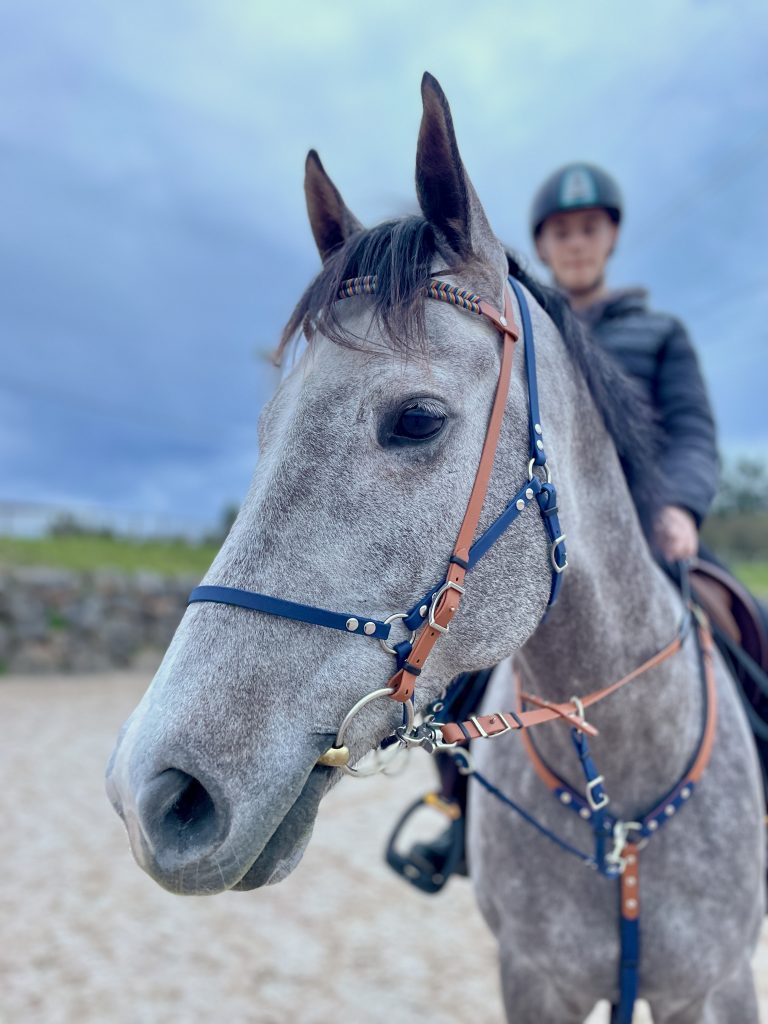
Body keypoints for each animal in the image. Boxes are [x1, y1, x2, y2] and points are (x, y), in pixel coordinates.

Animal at [105, 73, 765, 1022]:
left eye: (416, 419)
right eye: (265, 430)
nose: (148, 791)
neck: (621, 810)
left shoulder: (717, 987)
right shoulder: (534, 980)